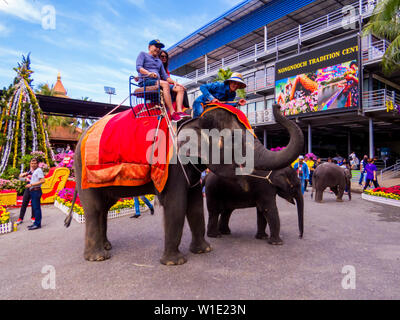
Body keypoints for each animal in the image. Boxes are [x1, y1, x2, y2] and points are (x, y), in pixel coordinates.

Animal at [65, 104, 304, 264]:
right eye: (233, 143)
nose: (277, 105)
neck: (192, 120)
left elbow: (196, 204)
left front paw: (204, 251)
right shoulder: (172, 164)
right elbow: (176, 204)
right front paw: (175, 262)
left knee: (104, 208)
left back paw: (106, 246)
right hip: (83, 168)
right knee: (95, 209)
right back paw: (98, 257)